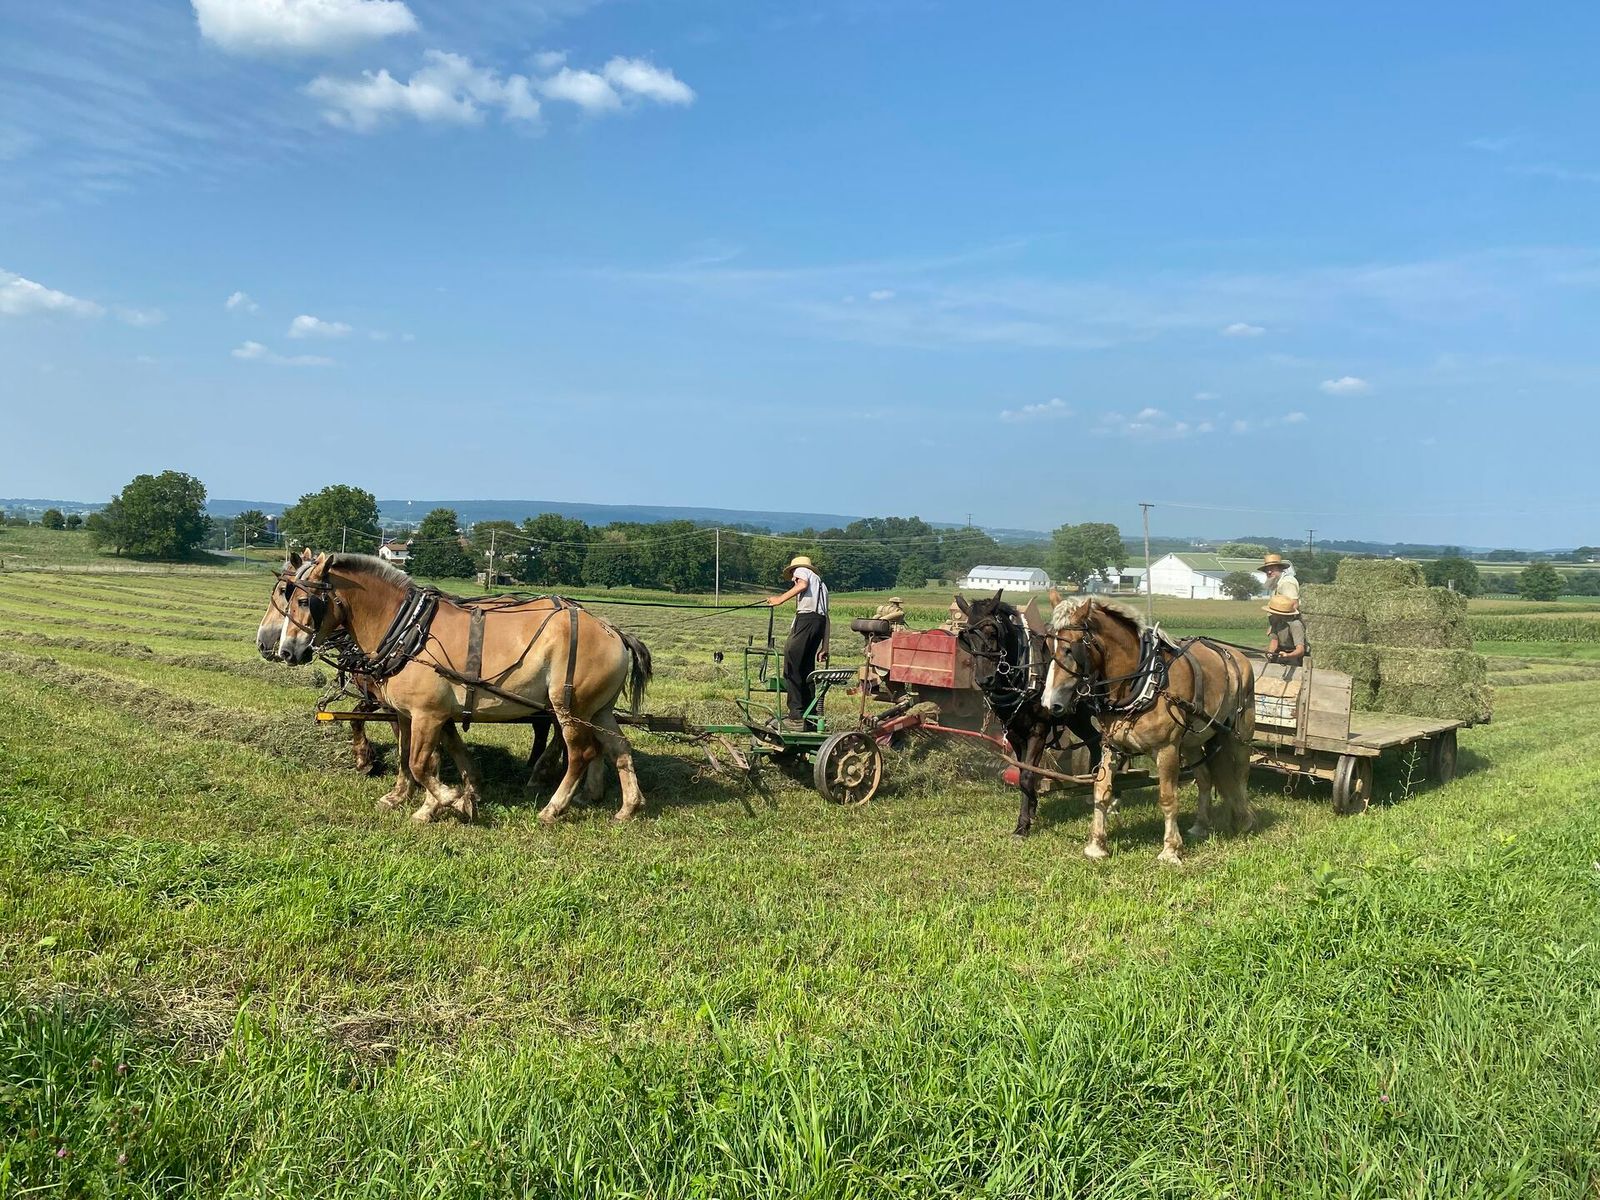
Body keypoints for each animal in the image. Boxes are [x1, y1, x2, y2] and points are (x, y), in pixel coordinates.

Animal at [258, 551, 651, 824]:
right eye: (287, 593)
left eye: (301, 599)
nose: (282, 648)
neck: (406, 630)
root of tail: (613, 632)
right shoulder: (410, 714)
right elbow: (417, 757)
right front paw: (420, 798)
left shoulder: (427, 714)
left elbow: (421, 763)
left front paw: (447, 800)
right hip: (597, 710)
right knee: (618, 747)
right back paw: (626, 806)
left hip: (570, 709)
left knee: (581, 752)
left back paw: (553, 806)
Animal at [954, 590, 1108, 838]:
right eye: (966, 637)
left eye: (992, 632)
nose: (984, 680)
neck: (1026, 672)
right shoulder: (1015, 733)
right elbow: (1023, 772)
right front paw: (1032, 809)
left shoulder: (1038, 730)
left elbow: (1027, 775)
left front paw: (1023, 825)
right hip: (1077, 716)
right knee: (1093, 740)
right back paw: (1090, 784)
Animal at [1040, 596, 1255, 865]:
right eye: (1048, 646)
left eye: (1071, 649)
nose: (1050, 703)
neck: (1144, 681)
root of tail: (1238, 655)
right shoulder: (1111, 745)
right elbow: (1101, 790)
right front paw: (1096, 845)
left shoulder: (1167, 749)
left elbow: (1167, 797)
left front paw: (1171, 850)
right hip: (1193, 742)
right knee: (1205, 779)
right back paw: (1200, 825)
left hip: (1239, 734)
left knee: (1240, 775)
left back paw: (1245, 819)